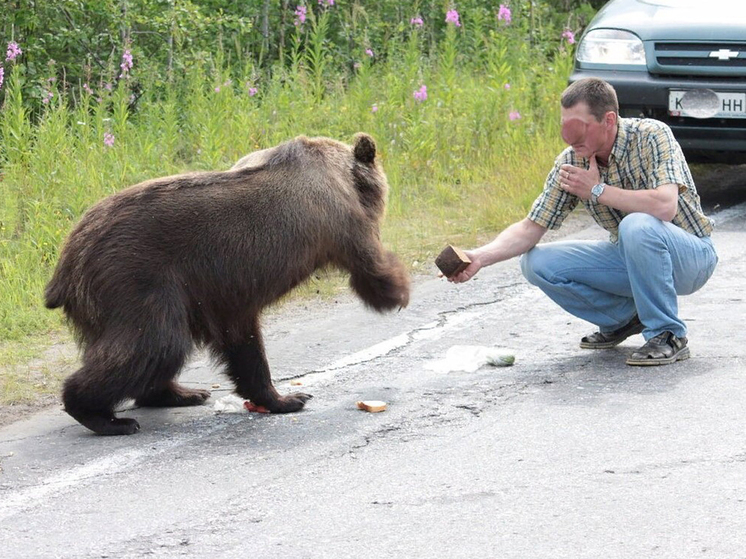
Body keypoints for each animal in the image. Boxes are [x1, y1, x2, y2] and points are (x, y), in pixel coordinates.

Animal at [45, 133, 406, 436]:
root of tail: (67, 260)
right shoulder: (340, 219)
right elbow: (369, 265)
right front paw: (398, 290)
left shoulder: (225, 296)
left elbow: (243, 345)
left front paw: (282, 398)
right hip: (135, 277)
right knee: (155, 343)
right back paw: (106, 417)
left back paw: (183, 392)